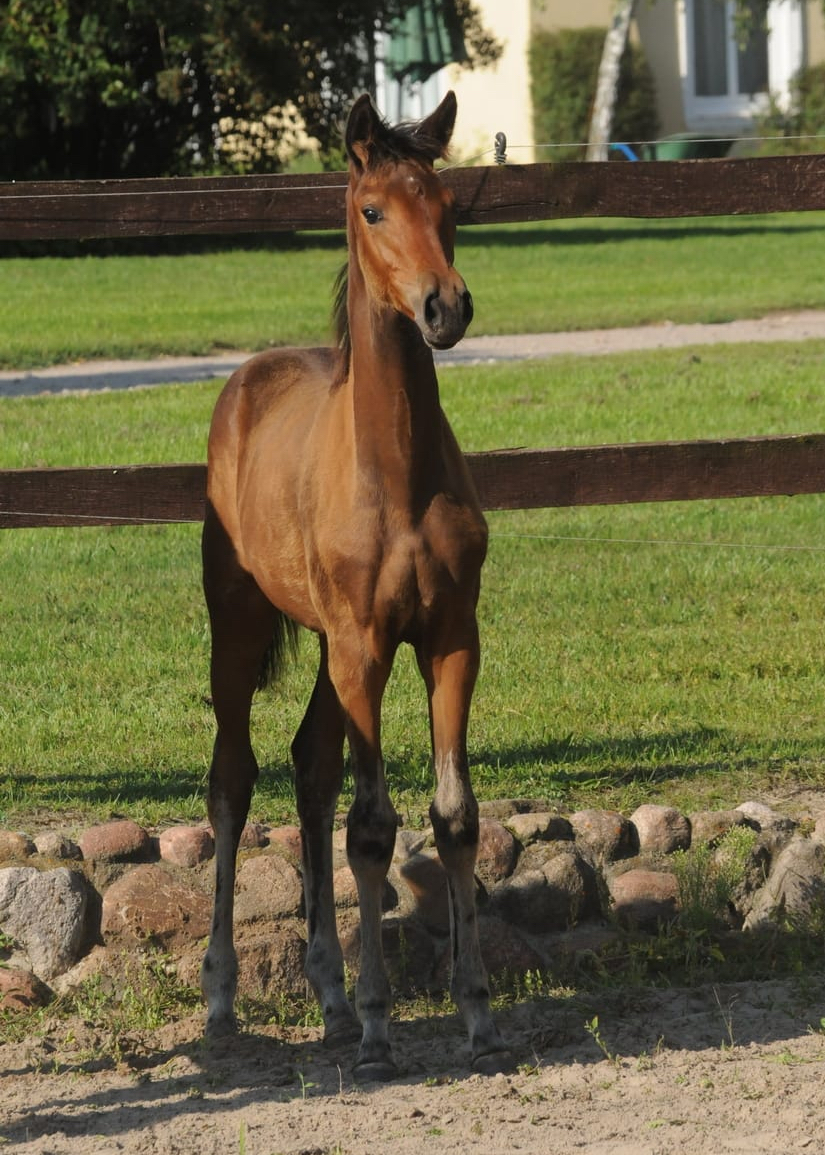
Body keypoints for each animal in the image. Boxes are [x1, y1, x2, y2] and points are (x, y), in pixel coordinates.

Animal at [198, 92, 508, 1081]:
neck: (395, 475)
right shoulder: (367, 647)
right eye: (373, 210)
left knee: (309, 767)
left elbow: (453, 814)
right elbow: (371, 829)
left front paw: (475, 1011)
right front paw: (378, 1026)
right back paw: (224, 998)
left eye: (445, 204)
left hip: (335, 654)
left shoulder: (449, 639)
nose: (444, 305)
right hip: (244, 627)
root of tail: (246, 379)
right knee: (234, 776)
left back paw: (327, 996)